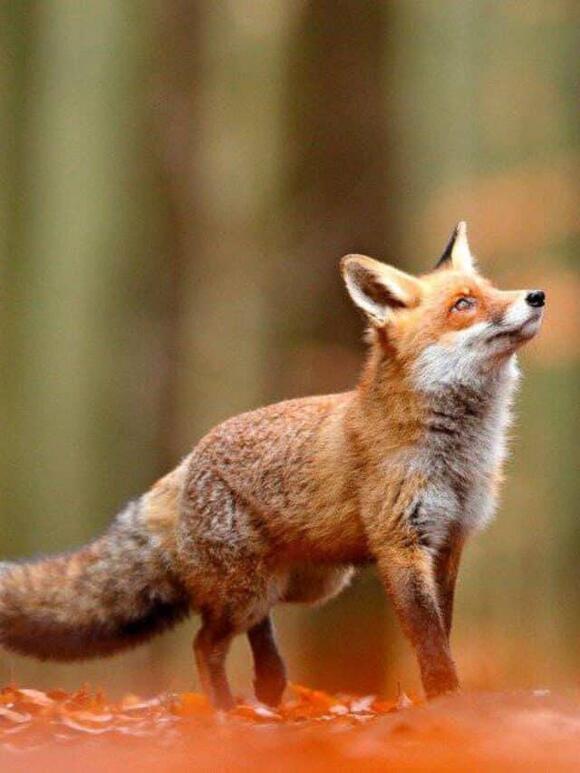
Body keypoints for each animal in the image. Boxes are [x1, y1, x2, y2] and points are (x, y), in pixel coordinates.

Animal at [0, 222, 545, 709]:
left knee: (257, 627)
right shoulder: (401, 544)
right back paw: (225, 713)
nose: (537, 295)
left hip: (306, 584)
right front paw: (447, 703)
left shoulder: (450, 541)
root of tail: (187, 461)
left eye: (493, 289)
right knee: (206, 643)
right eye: (463, 305)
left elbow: (442, 633)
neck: (458, 456)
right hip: (250, 588)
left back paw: (269, 685)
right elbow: (430, 642)